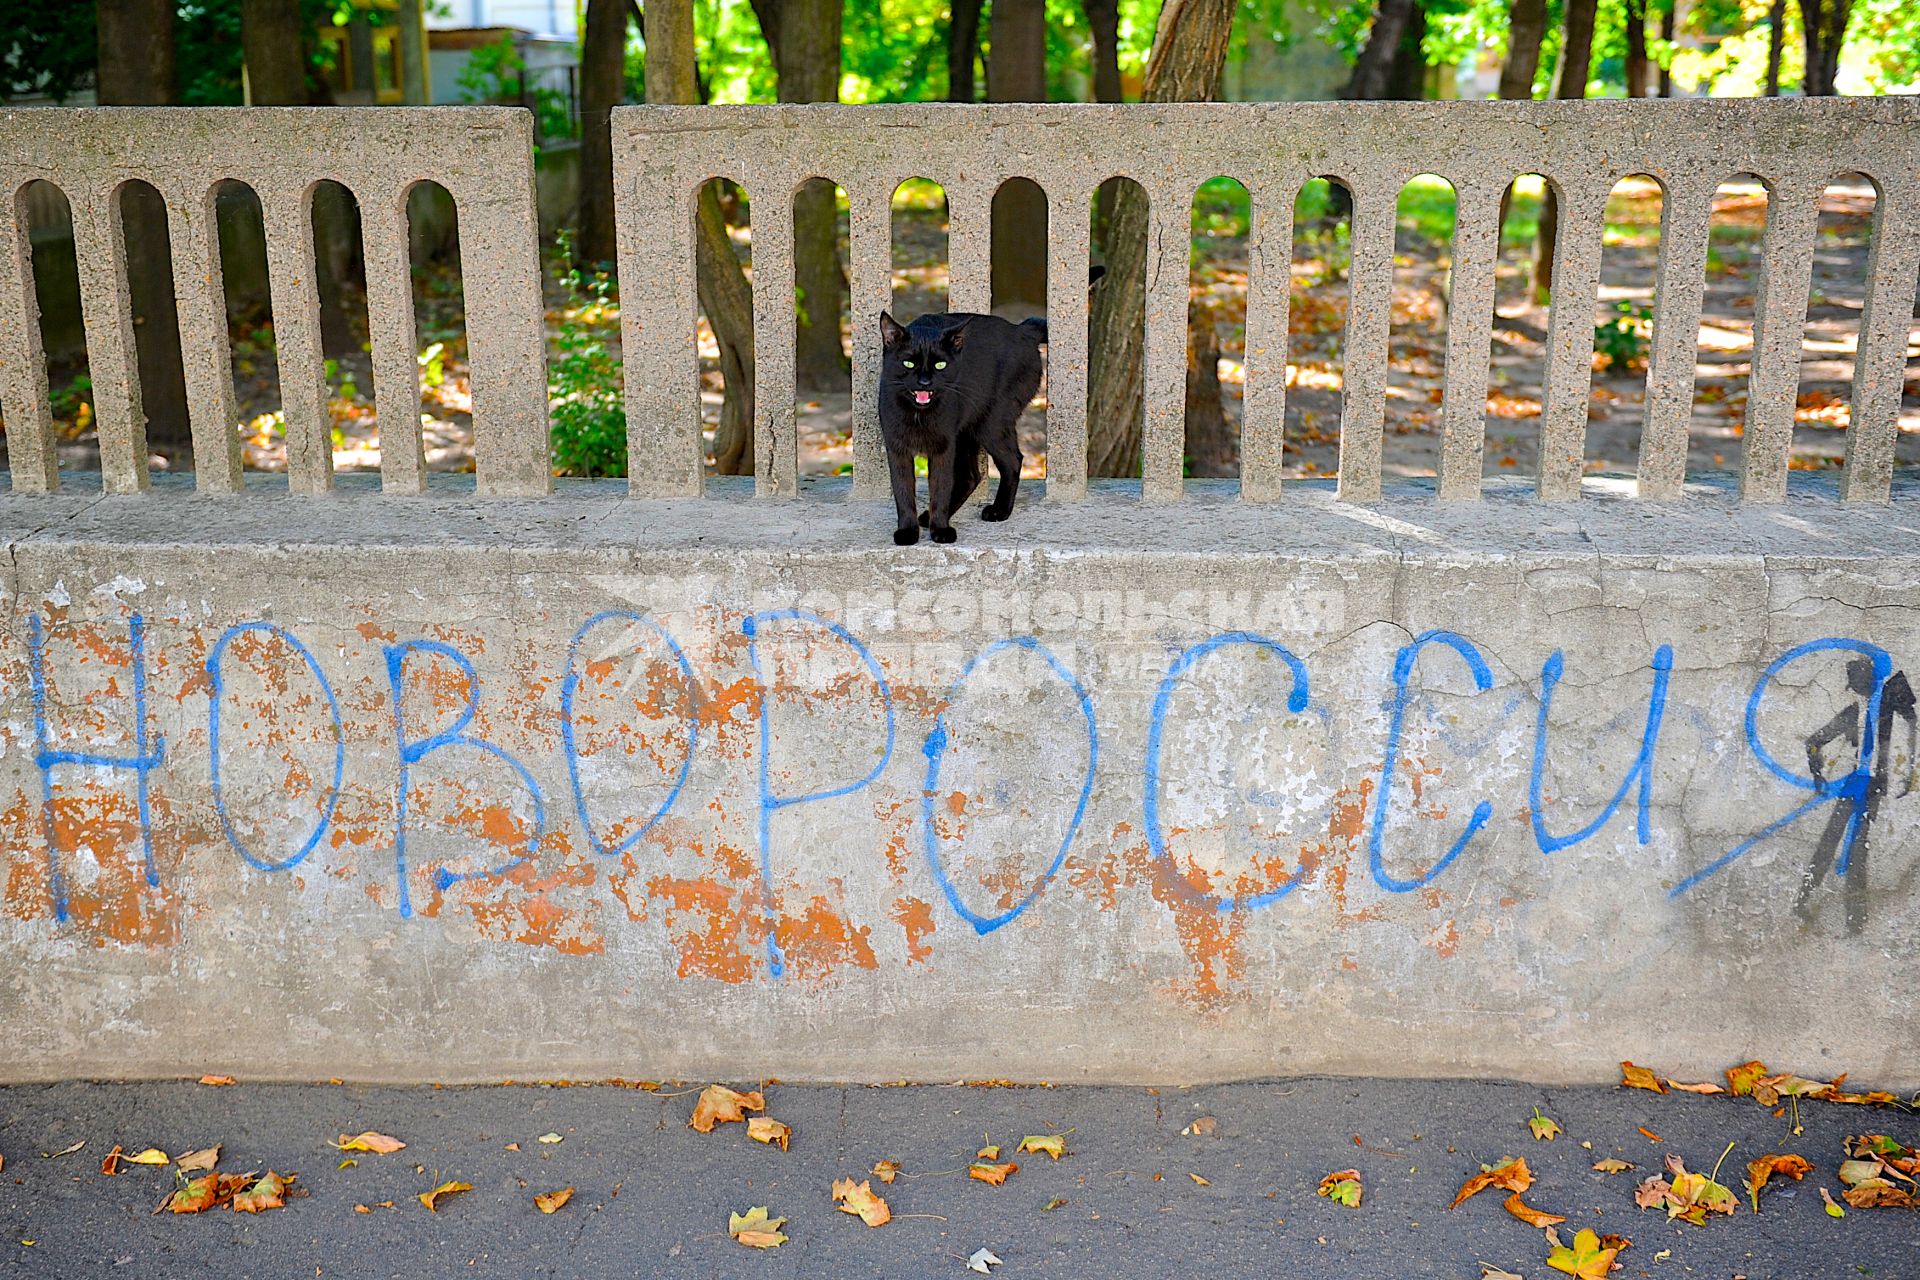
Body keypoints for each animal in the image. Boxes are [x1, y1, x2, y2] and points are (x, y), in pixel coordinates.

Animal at [879, 316, 1044, 552]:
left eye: (940, 365)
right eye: (908, 363)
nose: (924, 382)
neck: (919, 415)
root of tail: (1023, 330)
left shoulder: (943, 447)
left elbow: (940, 487)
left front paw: (940, 530)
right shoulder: (897, 448)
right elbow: (903, 491)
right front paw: (908, 532)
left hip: (990, 425)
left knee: (1013, 460)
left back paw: (999, 511)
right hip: (966, 432)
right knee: (972, 476)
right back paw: (928, 517)